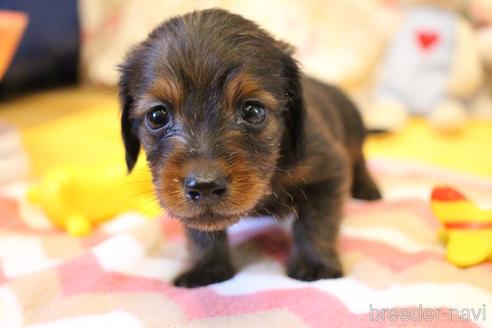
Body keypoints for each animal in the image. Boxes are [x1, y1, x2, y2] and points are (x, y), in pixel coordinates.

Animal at [119, 8, 380, 288]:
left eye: (253, 111)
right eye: (157, 116)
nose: (205, 186)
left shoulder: (328, 170)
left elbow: (317, 222)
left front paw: (315, 264)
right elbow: (202, 235)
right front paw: (207, 268)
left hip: (354, 132)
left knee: (359, 159)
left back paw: (367, 188)